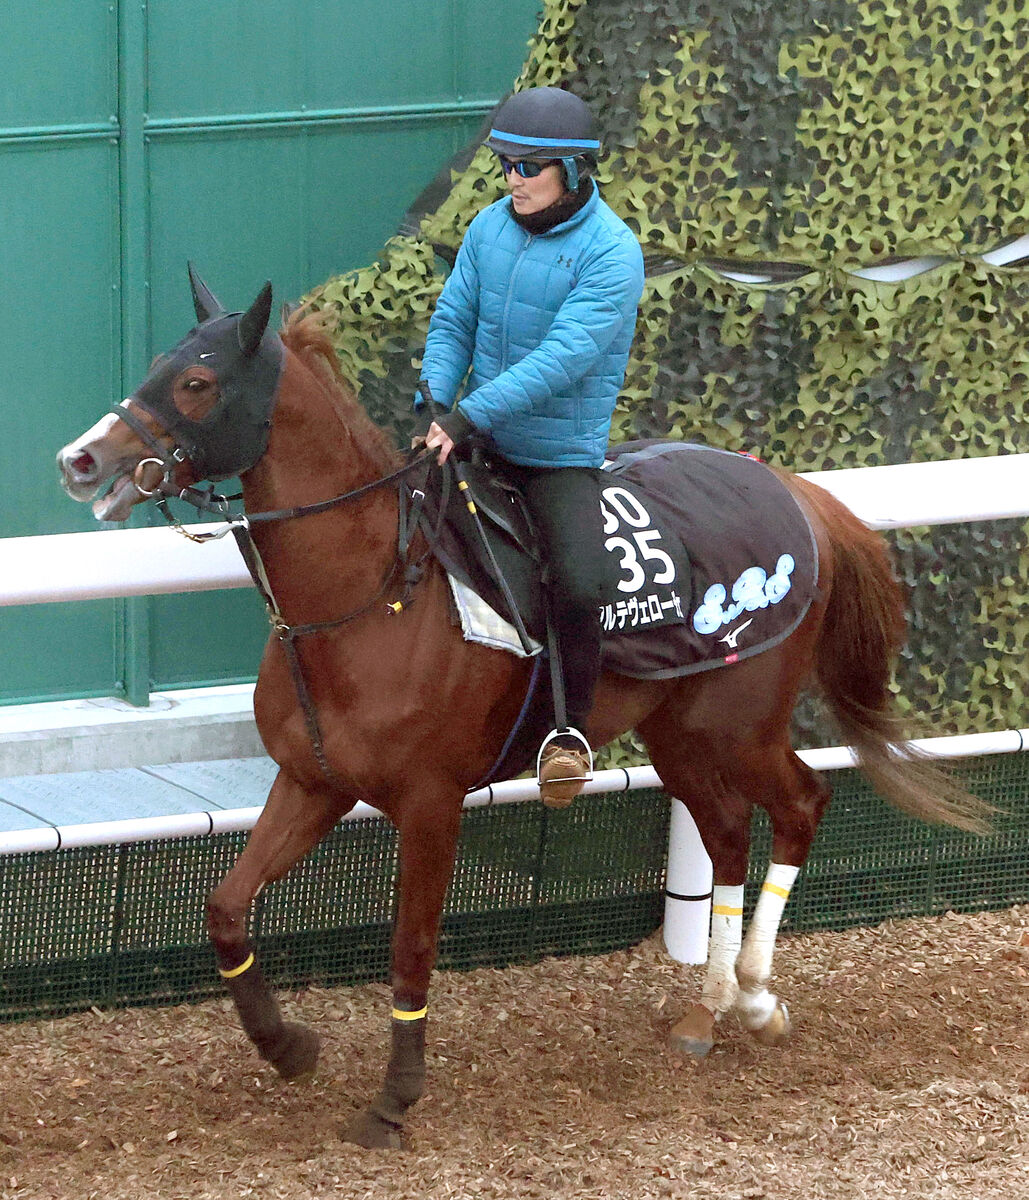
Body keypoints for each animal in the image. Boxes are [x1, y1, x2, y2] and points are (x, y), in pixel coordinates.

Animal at [54, 270, 978, 1142]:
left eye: (197, 382)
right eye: (157, 365)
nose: (80, 459)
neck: (370, 594)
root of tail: (798, 493)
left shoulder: (429, 804)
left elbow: (410, 947)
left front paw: (394, 1098)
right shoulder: (312, 782)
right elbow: (225, 908)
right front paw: (286, 1046)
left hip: (739, 722)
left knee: (799, 804)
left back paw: (754, 996)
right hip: (679, 730)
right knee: (722, 832)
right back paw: (708, 1006)